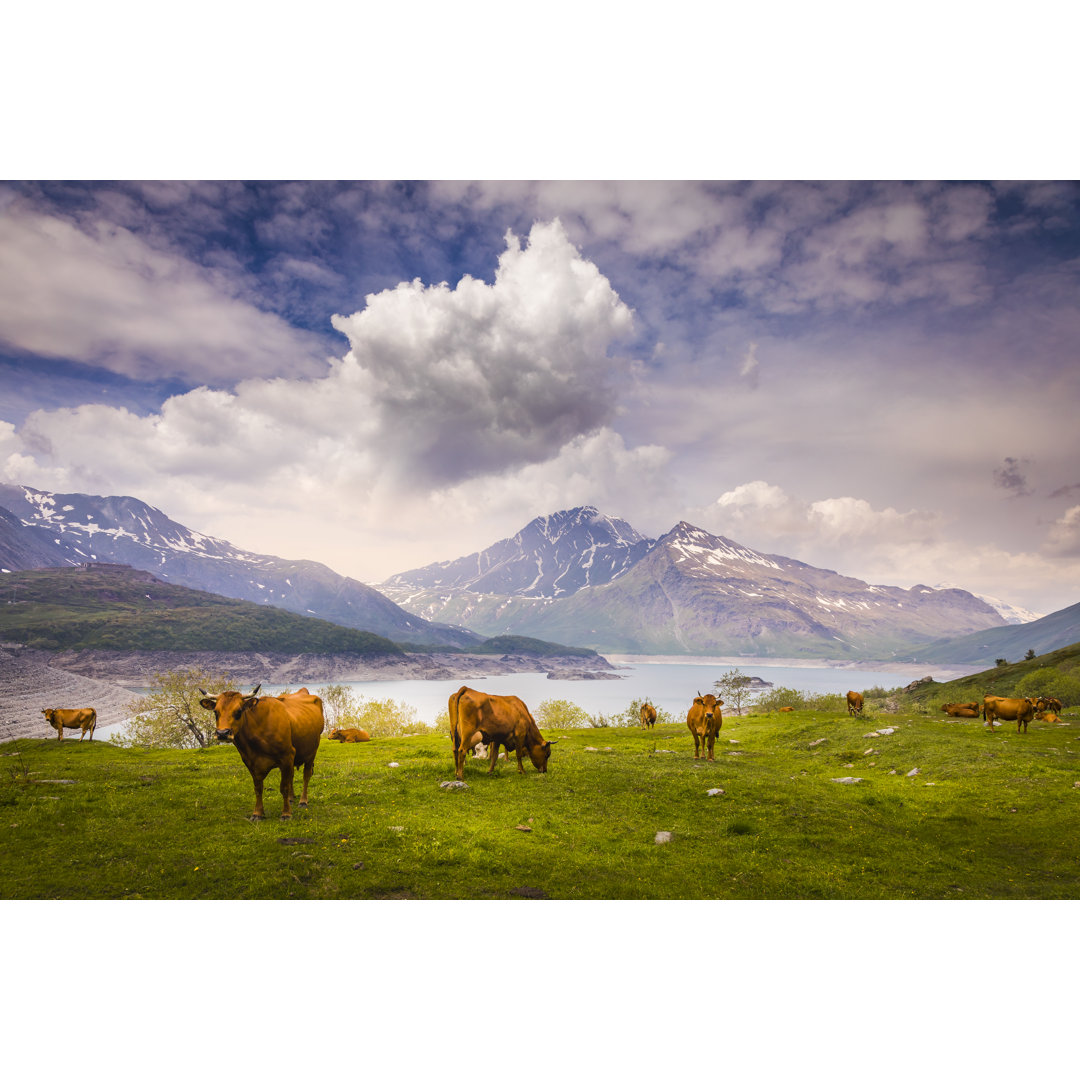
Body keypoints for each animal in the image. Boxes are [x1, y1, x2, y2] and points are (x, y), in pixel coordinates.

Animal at [199, 682, 324, 816]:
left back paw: (303, 801)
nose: (222, 733)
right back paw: (291, 798)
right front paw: (258, 813)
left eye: (239, 711)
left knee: (306, 776)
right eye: (215, 712)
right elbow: (258, 788)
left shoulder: (287, 755)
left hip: (311, 752)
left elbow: (284, 787)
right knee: (291, 776)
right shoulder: (250, 761)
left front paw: (286, 813)